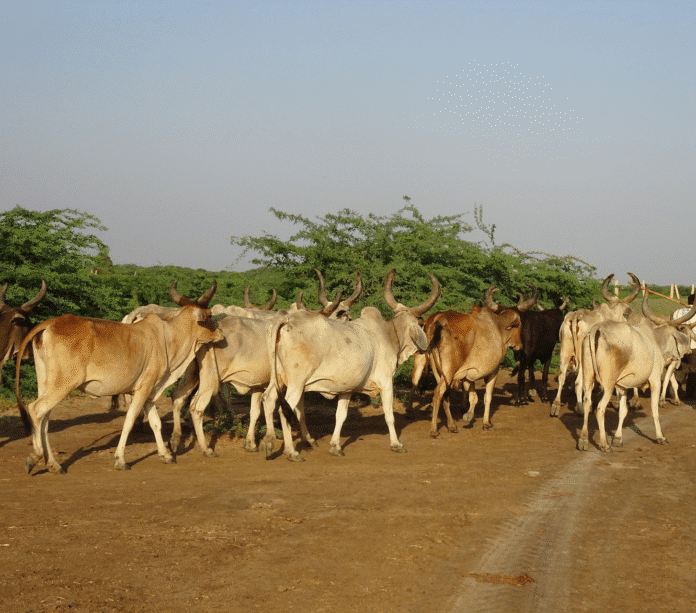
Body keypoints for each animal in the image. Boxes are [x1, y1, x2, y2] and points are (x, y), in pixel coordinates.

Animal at [16, 282, 224, 473]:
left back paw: (53, 464)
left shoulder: (150, 392)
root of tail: (50, 323)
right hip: (63, 384)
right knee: (35, 410)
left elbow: (156, 423)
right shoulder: (143, 389)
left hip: (46, 383)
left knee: (45, 417)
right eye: (209, 316)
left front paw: (166, 455)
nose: (221, 333)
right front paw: (121, 460)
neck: (167, 339)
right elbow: (130, 420)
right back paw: (35, 457)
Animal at [261, 269, 440, 460]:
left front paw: (335, 446)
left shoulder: (347, 389)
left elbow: (341, 415)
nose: (426, 347)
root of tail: (287, 321)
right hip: (297, 383)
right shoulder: (386, 382)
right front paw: (396, 444)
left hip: (278, 380)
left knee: (268, 398)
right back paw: (291, 452)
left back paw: (268, 442)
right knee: (284, 409)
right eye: (421, 323)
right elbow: (389, 414)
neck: (388, 335)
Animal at [424, 287, 535, 438]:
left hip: (438, 371)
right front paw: (486, 423)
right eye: (518, 325)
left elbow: (473, 396)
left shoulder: (469, 373)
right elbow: (487, 397)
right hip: (449, 370)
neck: (497, 326)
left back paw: (452, 425)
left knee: (445, 395)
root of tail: (438, 319)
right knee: (438, 393)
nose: (519, 345)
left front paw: (468, 415)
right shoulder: (494, 370)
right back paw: (434, 430)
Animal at [549, 273, 640, 417]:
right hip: (583, 359)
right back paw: (580, 408)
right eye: (625, 315)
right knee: (578, 382)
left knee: (561, 376)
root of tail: (575, 317)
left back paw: (556, 405)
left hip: (564, 353)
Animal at [578, 291, 696, 452]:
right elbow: (654, 410)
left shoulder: (622, 387)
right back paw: (604, 444)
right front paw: (660, 437)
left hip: (589, 378)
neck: (655, 340)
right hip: (608, 384)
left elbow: (623, 412)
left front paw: (618, 438)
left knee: (587, 402)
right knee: (599, 409)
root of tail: (597, 329)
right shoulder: (654, 381)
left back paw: (583, 439)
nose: (684, 353)